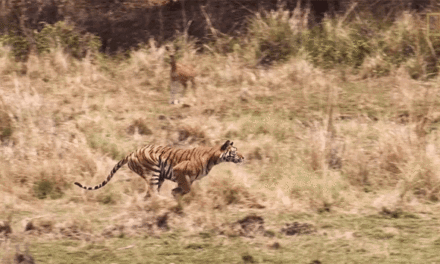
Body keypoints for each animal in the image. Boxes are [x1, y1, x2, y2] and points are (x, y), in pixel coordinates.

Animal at [73, 140, 244, 198]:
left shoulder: (187, 178)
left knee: (149, 195)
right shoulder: (179, 170)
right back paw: (162, 201)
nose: (243, 157)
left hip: (159, 176)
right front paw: (175, 194)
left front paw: (175, 193)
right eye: (235, 151)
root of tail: (132, 152)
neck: (214, 159)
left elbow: (184, 188)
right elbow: (187, 188)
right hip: (153, 172)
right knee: (152, 193)